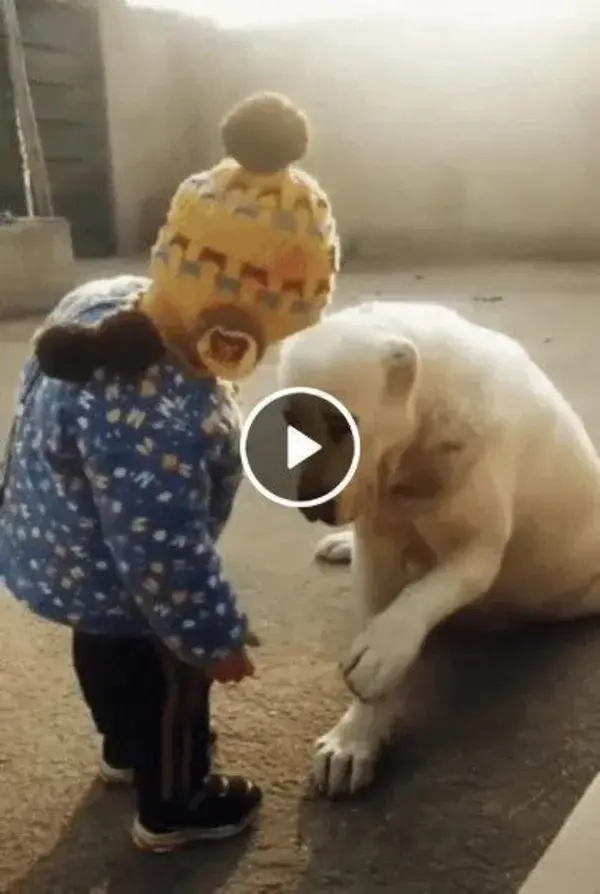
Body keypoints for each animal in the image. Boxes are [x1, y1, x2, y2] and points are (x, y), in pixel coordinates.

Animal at [278, 300, 600, 800]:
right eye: (290, 421)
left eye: (341, 424)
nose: (313, 505)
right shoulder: (379, 536)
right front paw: (354, 740)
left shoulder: (476, 542)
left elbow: (434, 587)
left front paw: (382, 652)